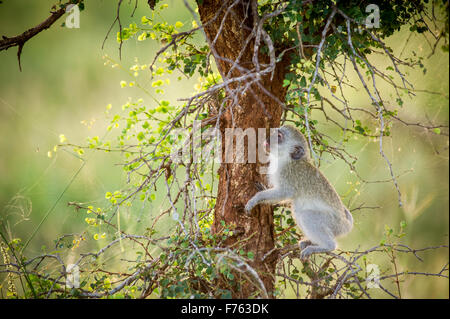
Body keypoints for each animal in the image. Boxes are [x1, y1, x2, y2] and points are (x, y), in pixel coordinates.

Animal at [244, 125, 354, 260]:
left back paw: (326, 246)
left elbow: (284, 193)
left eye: (279, 136)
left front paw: (255, 199)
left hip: (334, 223)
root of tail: (347, 225)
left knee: (306, 215)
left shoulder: (287, 173)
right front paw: (262, 188)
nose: (267, 139)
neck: (287, 159)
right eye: (276, 132)